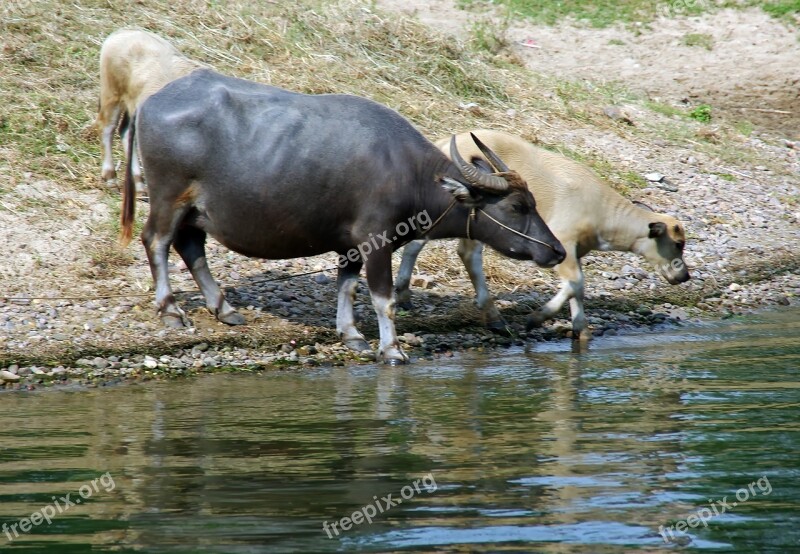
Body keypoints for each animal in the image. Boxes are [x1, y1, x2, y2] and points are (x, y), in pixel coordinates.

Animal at [122, 69, 564, 362]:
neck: (410, 174)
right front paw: (392, 349)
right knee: (157, 241)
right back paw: (171, 311)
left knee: (190, 245)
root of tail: (151, 101)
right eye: (517, 206)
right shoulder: (376, 243)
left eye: (533, 202)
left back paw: (224, 308)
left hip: (197, 211)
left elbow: (347, 287)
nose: (557, 251)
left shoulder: (351, 246)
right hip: (168, 197)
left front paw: (351, 334)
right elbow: (383, 299)